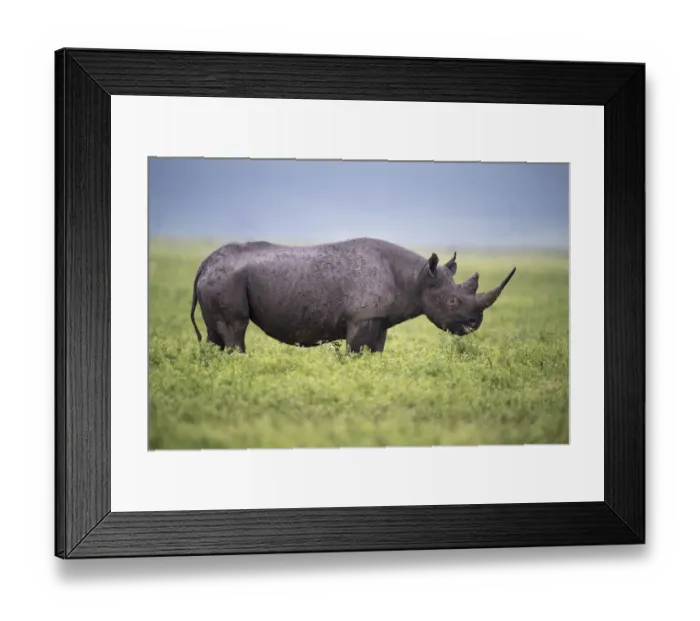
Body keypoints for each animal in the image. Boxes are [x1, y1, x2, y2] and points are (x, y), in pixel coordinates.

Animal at [190, 237, 515, 354]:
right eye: (453, 302)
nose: (474, 324)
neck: (417, 278)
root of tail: (205, 263)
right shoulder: (361, 318)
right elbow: (355, 352)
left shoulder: (379, 319)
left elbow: (375, 353)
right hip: (227, 279)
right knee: (235, 329)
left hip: (220, 278)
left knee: (215, 334)